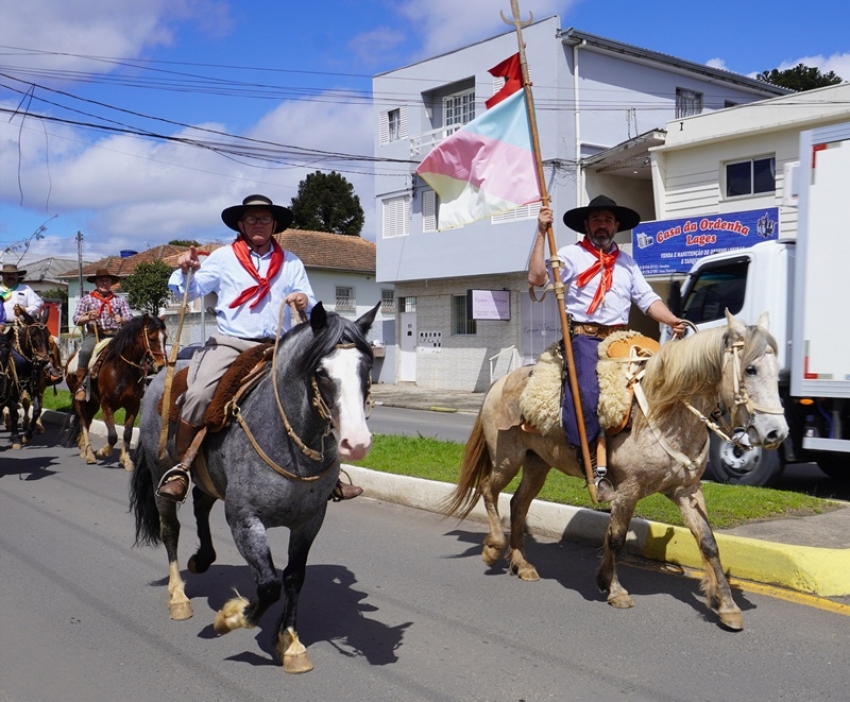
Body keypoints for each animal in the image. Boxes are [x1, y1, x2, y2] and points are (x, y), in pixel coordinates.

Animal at [0, 308, 51, 452]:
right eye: (33, 335)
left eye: (48, 334)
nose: (43, 361)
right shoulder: (13, 390)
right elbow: (14, 413)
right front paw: (16, 438)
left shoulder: (34, 387)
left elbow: (37, 409)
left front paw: (27, 436)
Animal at [63, 314, 166, 470]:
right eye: (152, 338)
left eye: (165, 338)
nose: (161, 366)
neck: (122, 369)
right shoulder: (107, 405)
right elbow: (112, 435)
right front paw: (102, 452)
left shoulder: (133, 405)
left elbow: (127, 433)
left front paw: (126, 460)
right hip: (79, 401)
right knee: (83, 422)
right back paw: (90, 454)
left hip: (93, 403)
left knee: (87, 420)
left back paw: (84, 449)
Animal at [130, 304, 378, 676]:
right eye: (321, 372)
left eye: (366, 368)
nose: (356, 443)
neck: (288, 440)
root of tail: (161, 375)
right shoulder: (245, 520)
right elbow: (269, 584)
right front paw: (230, 618)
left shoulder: (309, 522)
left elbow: (293, 578)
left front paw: (290, 642)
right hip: (162, 478)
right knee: (170, 530)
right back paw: (178, 597)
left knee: (201, 504)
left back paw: (203, 559)